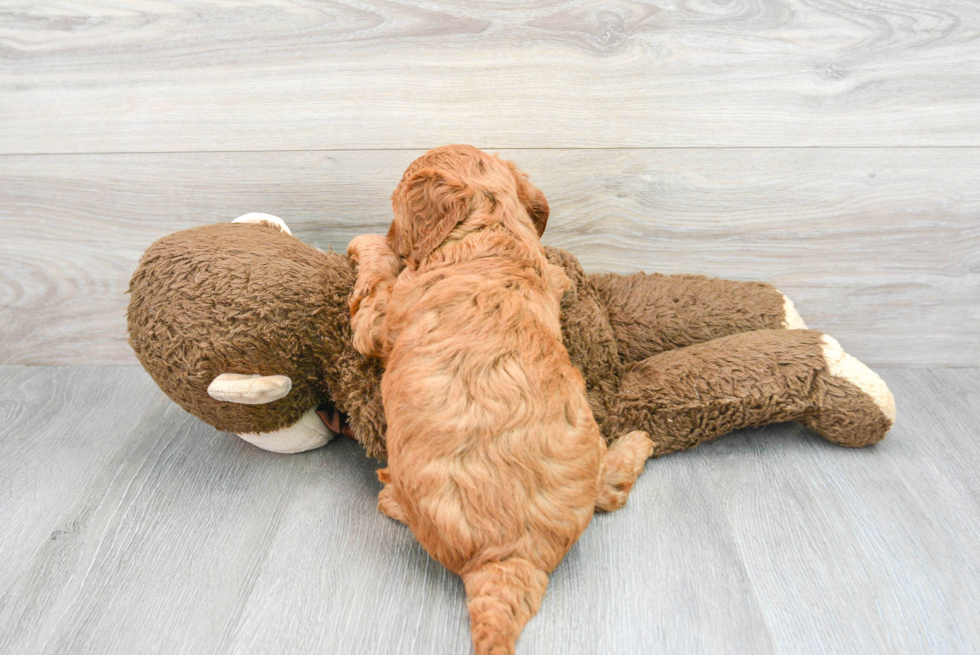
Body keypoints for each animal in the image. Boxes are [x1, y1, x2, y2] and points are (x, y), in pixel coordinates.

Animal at [348, 146, 656, 652]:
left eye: (396, 213)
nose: (394, 238)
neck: (492, 232)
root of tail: (514, 556)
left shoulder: (376, 323)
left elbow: (373, 286)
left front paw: (366, 244)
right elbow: (556, 274)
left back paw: (389, 497)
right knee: (609, 493)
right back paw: (637, 442)